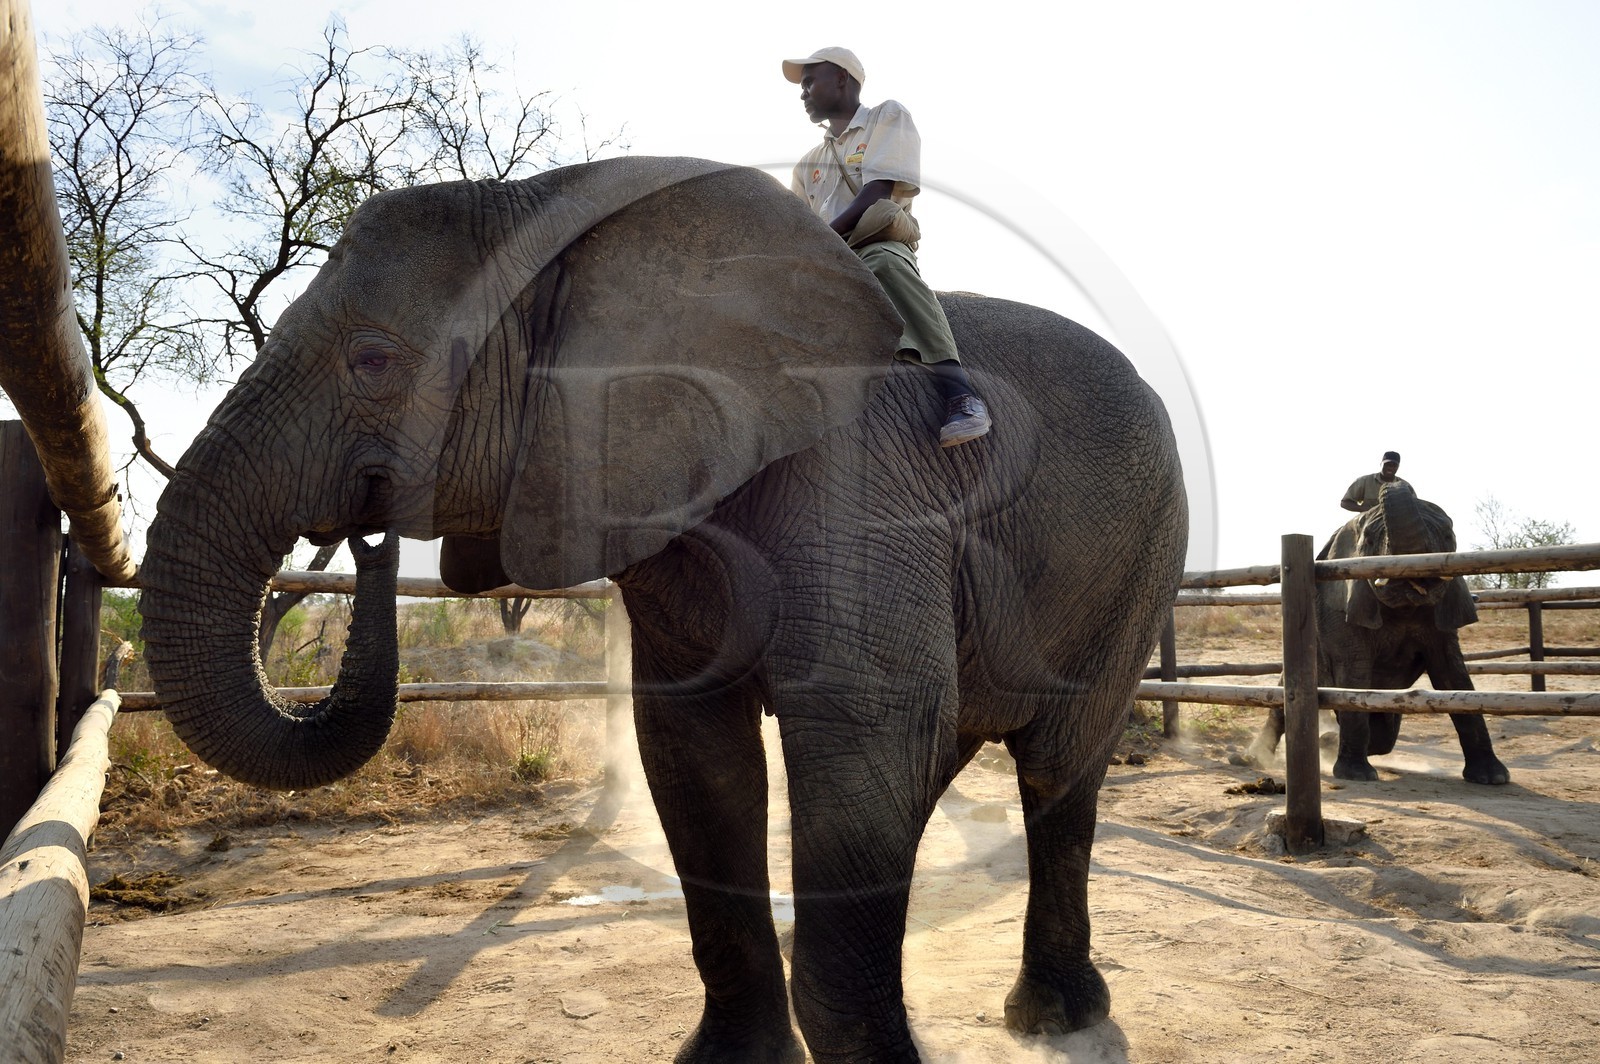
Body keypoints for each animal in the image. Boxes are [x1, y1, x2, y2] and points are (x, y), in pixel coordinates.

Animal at [139, 156, 1189, 1062]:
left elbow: (862, 725)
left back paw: (1054, 1017)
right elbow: (695, 755)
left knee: (1056, 767)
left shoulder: (861, 486)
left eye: (372, 363)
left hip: (1145, 554)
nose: (368, 533)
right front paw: (734, 1059)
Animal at [1249, 480, 1509, 785]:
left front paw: (1493, 778)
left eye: (1448, 536)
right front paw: (1356, 775)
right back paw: (1253, 758)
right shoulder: (1338, 607)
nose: (1391, 477)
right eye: (1370, 542)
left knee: (1385, 731)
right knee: (1281, 705)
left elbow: (1453, 674)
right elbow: (1355, 672)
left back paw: (1329, 740)